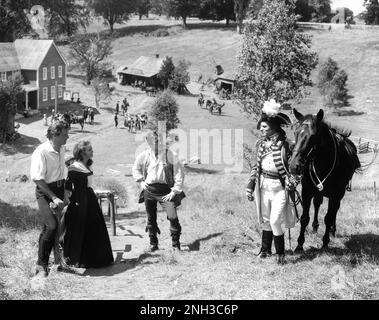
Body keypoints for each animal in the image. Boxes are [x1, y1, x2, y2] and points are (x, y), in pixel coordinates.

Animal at [290, 109, 360, 251]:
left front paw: (325, 242)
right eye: (295, 132)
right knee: (317, 204)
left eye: (313, 136)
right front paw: (299, 245)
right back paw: (315, 227)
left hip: (338, 194)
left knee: (335, 210)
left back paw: (332, 230)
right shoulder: (307, 192)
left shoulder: (336, 194)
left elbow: (328, 217)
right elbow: (304, 218)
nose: (294, 165)